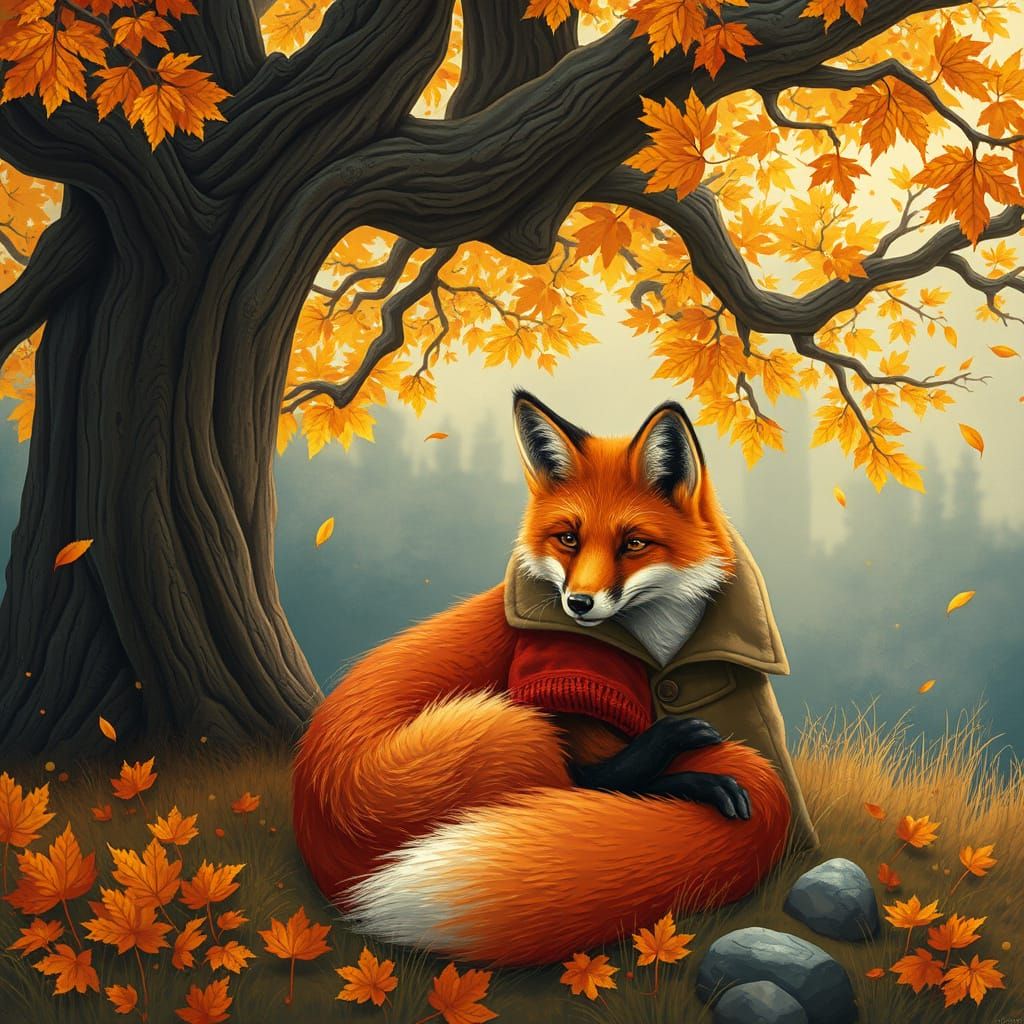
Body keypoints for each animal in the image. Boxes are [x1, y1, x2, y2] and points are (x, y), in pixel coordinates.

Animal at [292, 390, 793, 967]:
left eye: (633, 544)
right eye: (568, 539)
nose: (578, 604)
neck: (658, 646)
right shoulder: (557, 681)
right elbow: (599, 777)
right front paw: (678, 767)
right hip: (509, 729)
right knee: (581, 784)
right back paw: (690, 774)